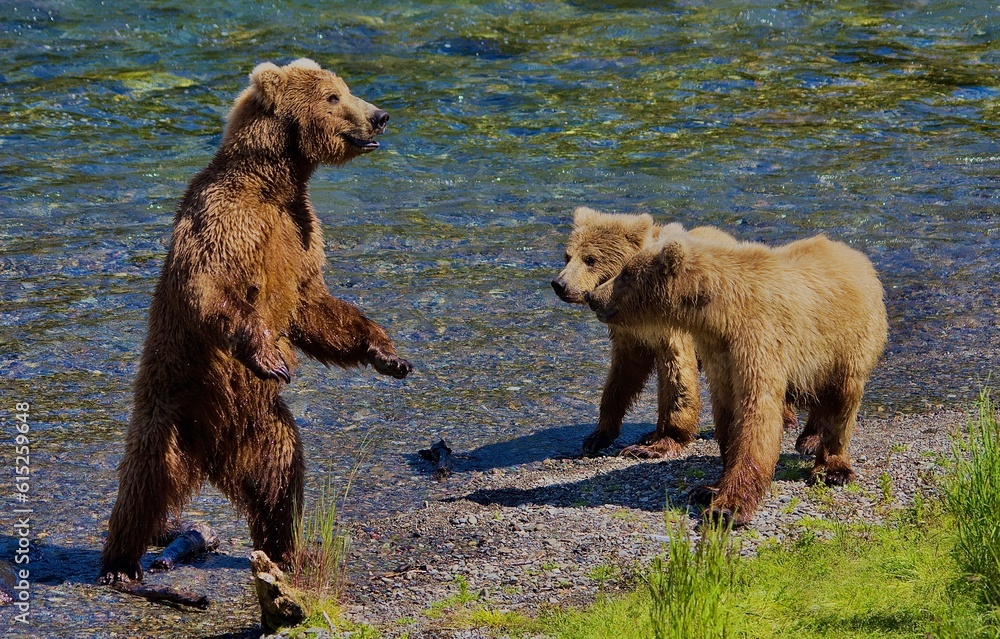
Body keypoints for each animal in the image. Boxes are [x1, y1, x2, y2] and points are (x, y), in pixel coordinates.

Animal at [97, 59, 412, 584]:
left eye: (345, 89)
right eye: (333, 96)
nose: (380, 116)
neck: (276, 181)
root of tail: (211, 457)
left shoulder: (301, 230)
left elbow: (313, 305)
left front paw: (388, 354)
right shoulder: (227, 218)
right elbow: (211, 288)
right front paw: (269, 357)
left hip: (265, 428)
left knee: (281, 481)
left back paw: (289, 552)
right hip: (170, 407)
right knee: (144, 484)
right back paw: (119, 563)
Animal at [551, 207, 797, 459]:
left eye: (590, 259)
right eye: (567, 256)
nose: (559, 284)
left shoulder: (671, 328)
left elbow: (677, 374)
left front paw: (661, 442)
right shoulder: (628, 334)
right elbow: (623, 375)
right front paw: (597, 436)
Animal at [585, 231, 887, 526]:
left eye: (626, 273)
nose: (592, 296)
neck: (719, 314)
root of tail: (857, 256)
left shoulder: (759, 340)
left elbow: (757, 413)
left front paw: (727, 508)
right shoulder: (720, 354)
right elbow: (728, 415)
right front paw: (709, 488)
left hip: (848, 342)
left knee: (842, 401)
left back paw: (831, 468)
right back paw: (810, 438)